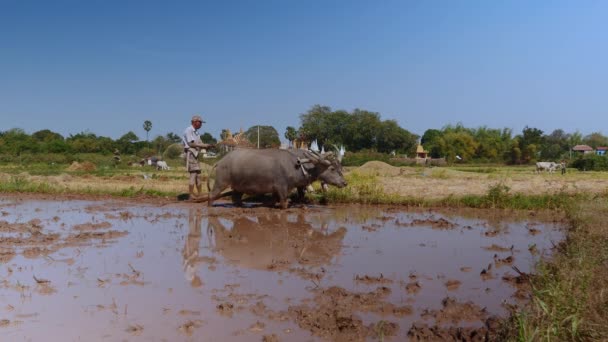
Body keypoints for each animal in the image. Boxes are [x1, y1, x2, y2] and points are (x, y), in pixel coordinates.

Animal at [208, 148, 342, 208]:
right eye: (332, 169)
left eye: (339, 167)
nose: (344, 183)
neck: (298, 165)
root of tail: (220, 161)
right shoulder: (281, 187)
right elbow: (284, 202)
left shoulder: (277, 190)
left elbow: (273, 200)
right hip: (221, 182)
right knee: (212, 194)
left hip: (238, 186)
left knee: (235, 198)